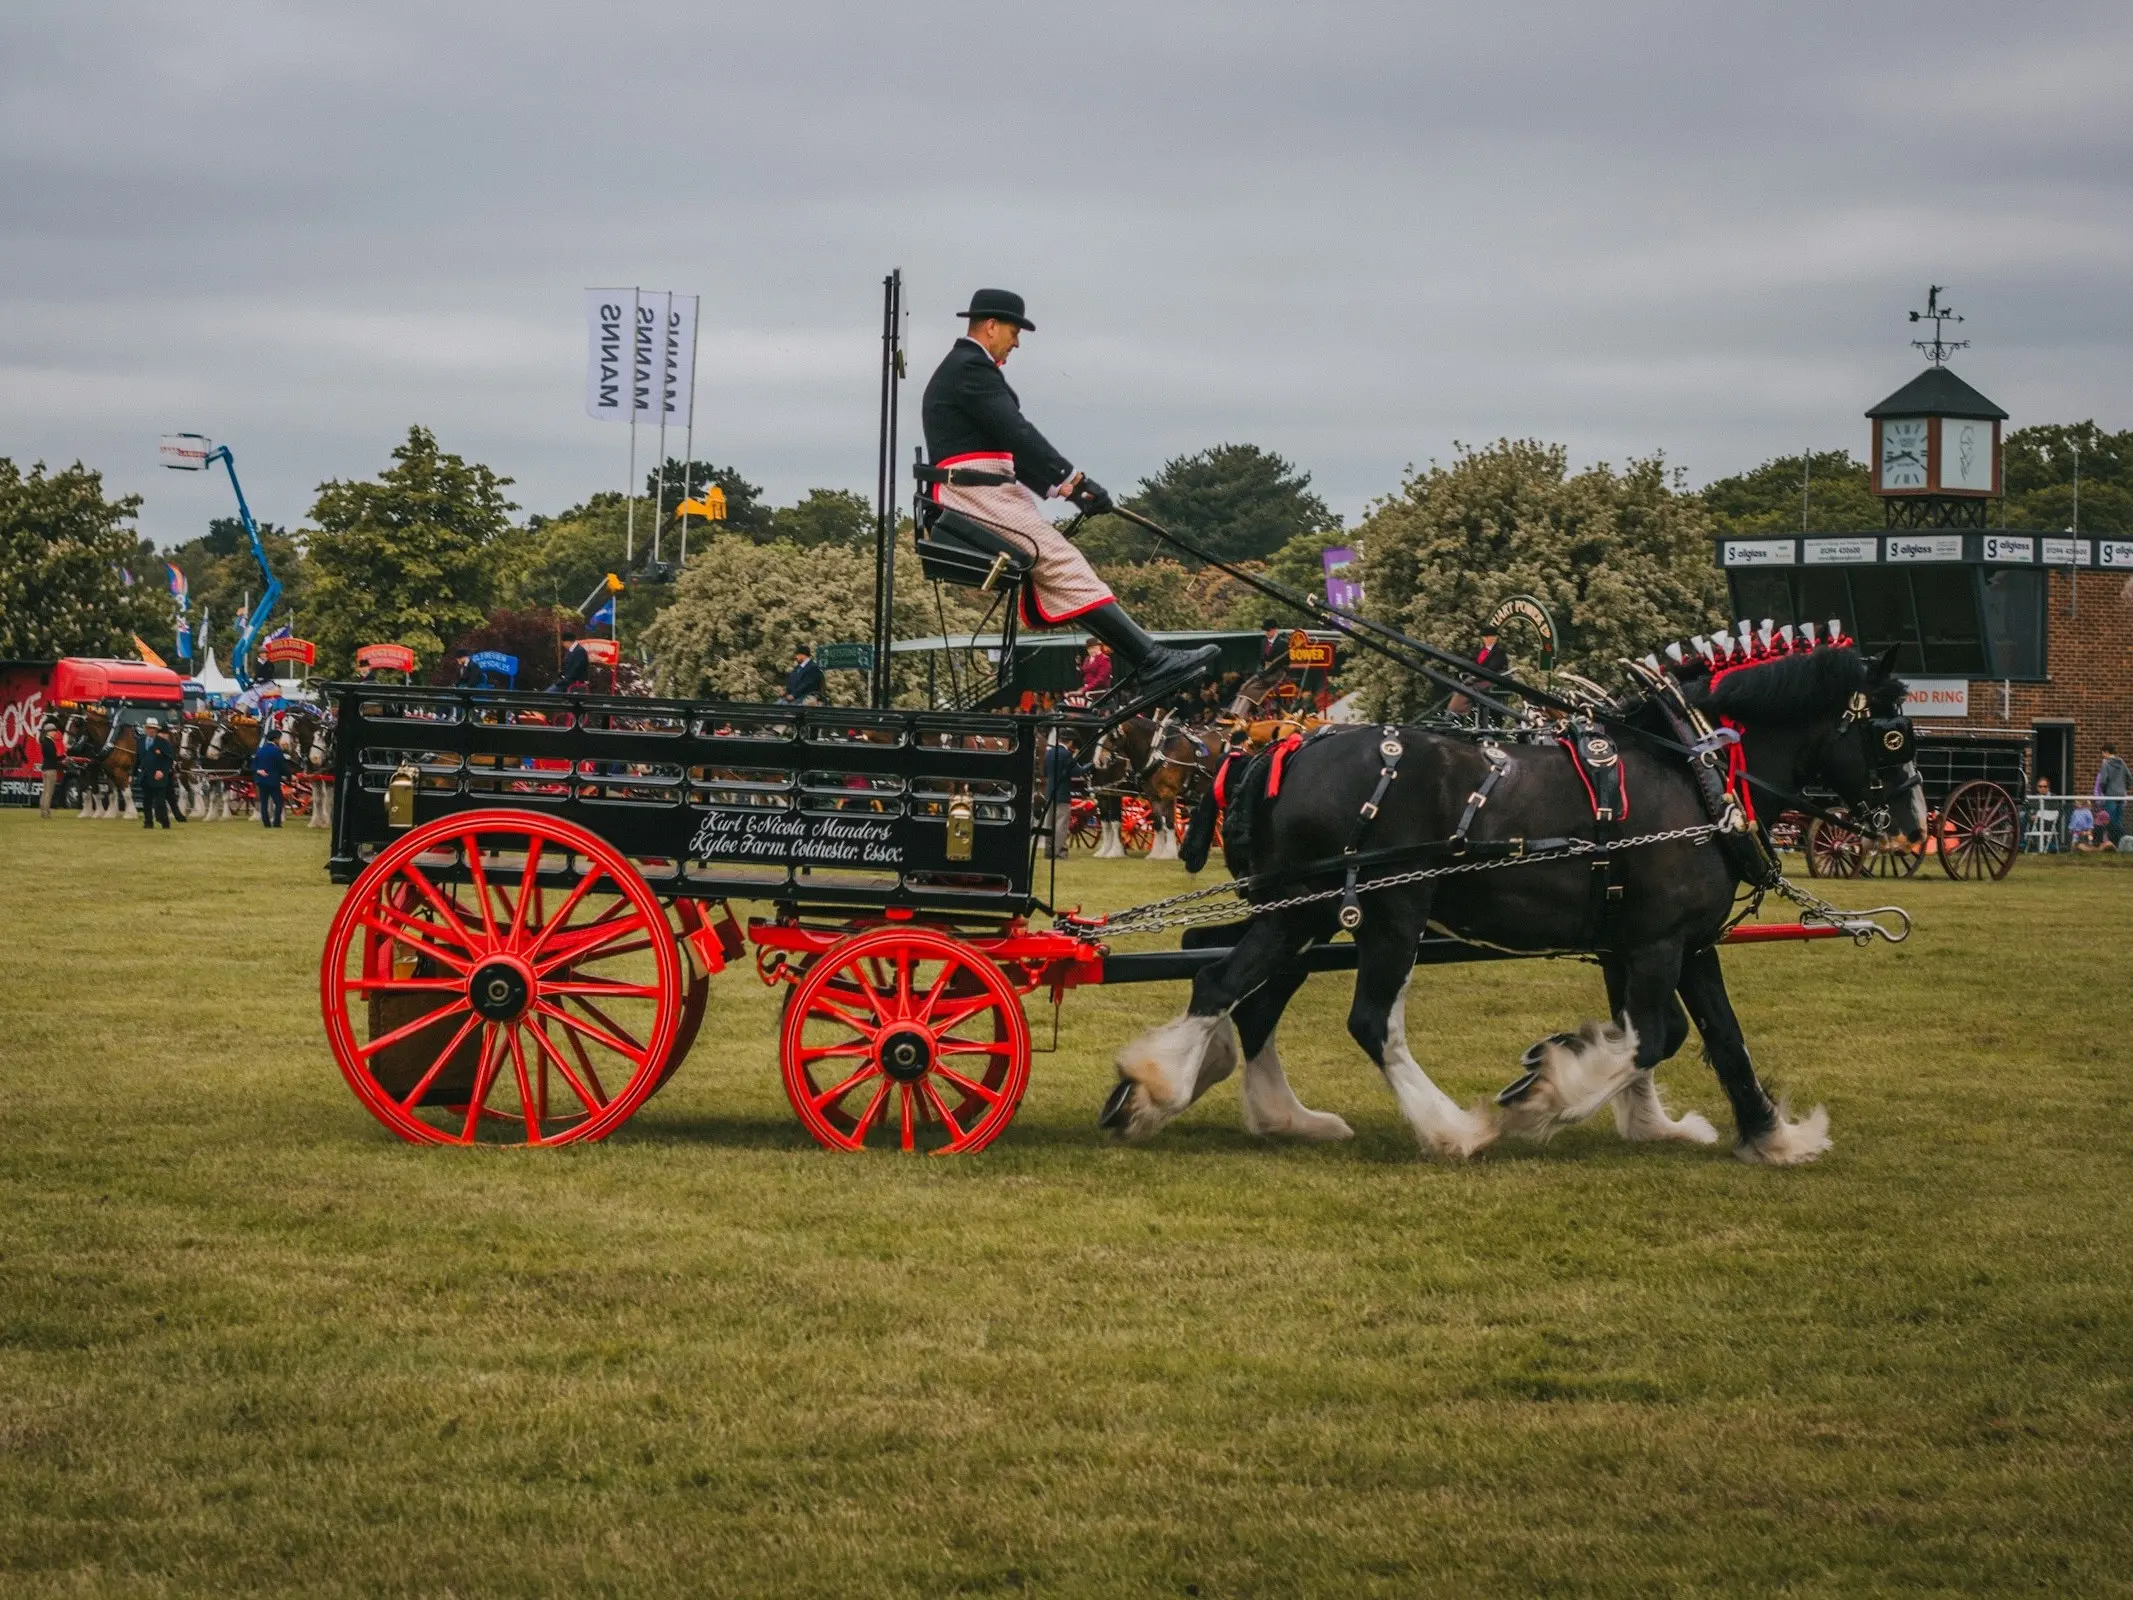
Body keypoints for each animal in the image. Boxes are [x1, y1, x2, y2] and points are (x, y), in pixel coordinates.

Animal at [1109, 640, 1928, 1169]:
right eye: (1895, 735)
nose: (1915, 826)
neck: (1693, 773)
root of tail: (1274, 750)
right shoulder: (1658, 943)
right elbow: (1652, 1037)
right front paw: (1547, 1091)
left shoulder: (1668, 944)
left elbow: (1716, 1040)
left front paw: (1756, 1135)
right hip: (1388, 909)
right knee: (1365, 1019)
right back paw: (1449, 1131)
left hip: (1302, 911)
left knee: (1230, 986)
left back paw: (1203, 1098)